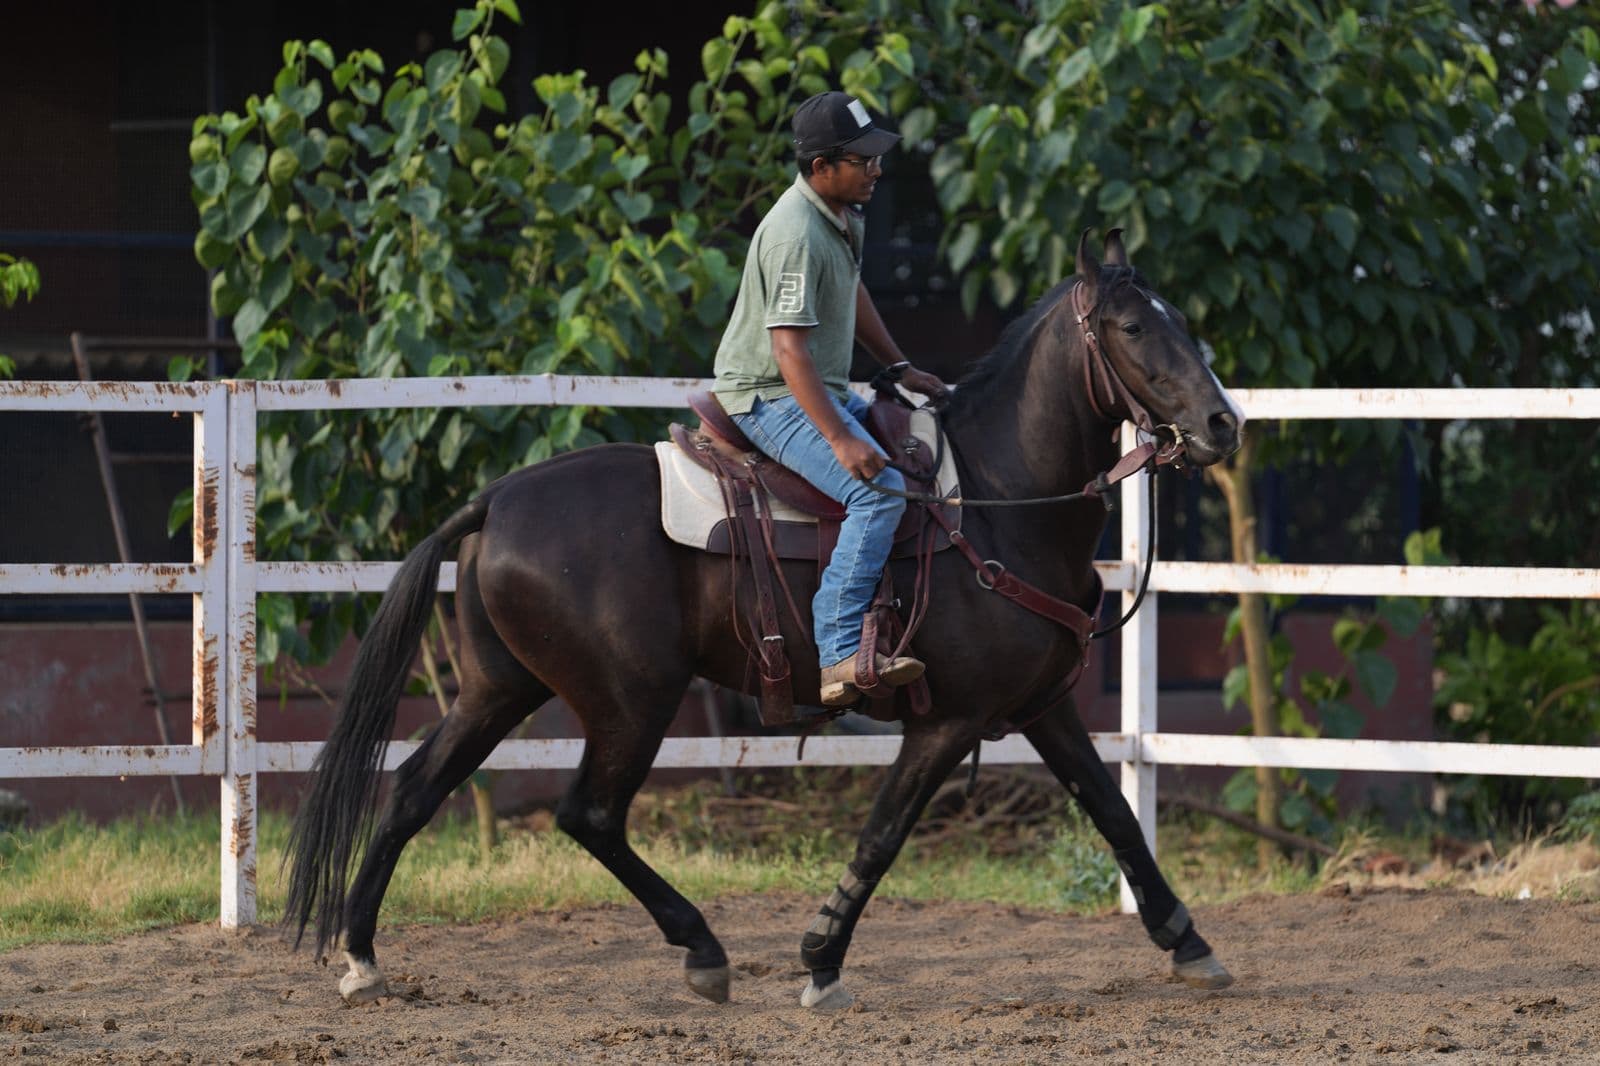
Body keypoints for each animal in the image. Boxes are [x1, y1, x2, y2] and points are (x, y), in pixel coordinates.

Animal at [284, 229, 1245, 1011]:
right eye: (1131, 328)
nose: (1221, 422)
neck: (995, 500)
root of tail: (495, 500)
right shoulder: (949, 720)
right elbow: (883, 833)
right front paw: (820, 960)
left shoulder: (1042, 707)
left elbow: (1114, 815)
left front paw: (1190, 944)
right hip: (632, 698)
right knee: (588, 814)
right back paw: (703, 951)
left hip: (499, 689)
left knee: (415, 790)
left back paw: (363, 958)